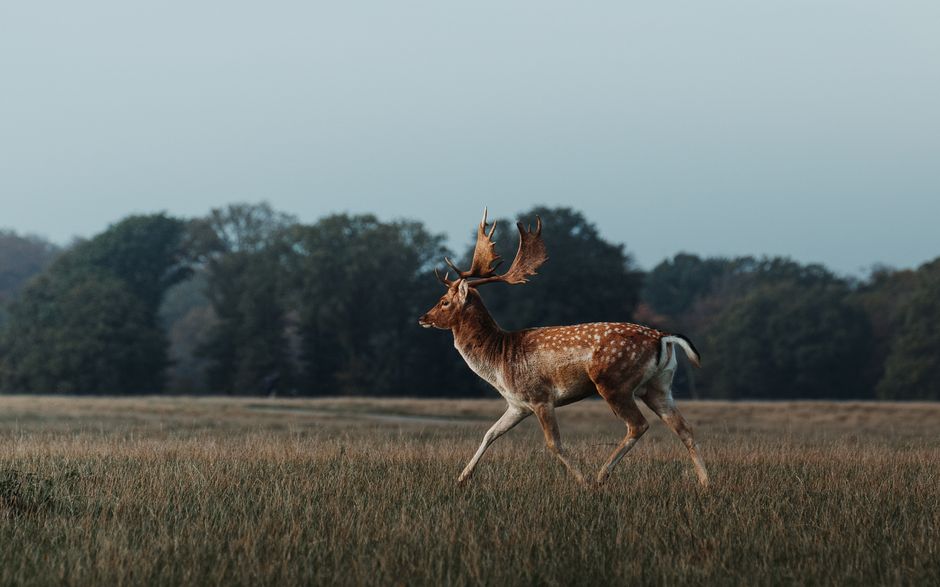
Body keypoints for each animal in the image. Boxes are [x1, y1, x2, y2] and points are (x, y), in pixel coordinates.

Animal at [418, 209, 709, 488]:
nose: (423, 317)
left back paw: (600, 477)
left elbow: (553, 444)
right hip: (659, 385)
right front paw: (461, 479)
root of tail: (663, 337)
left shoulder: (540, 396)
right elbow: (490, 433)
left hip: (614, 382)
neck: (499, 358)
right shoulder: (517, 404)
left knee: (638, 425)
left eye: (444, 301)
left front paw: (582, 481)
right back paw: (706, 482)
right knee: (684, 428)